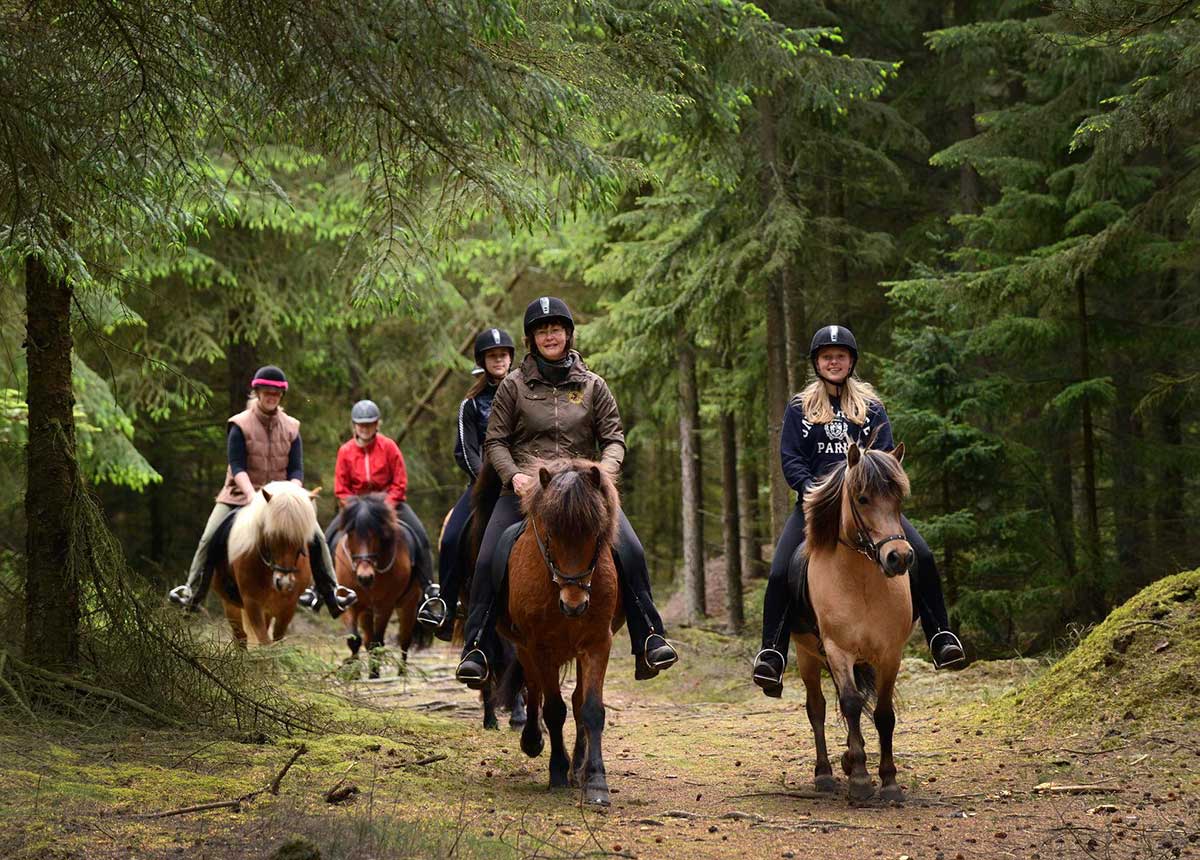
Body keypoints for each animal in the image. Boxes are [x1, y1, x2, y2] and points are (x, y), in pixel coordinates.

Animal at [210, 482, 319, 642]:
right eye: (271, 535)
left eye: (302, 538)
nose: (284, 583)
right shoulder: (252, 603)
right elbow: (264, 641)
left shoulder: (288, 606)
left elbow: (276, 639)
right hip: (230, 604)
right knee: (240, 637)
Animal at [333, 494, 417, 676]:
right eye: (350, 532)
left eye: (377, 533)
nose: (365, 577)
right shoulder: (349, 603)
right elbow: (354, 639)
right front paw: (354, 673)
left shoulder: (385, 606)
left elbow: (377, 642)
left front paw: (374, 674)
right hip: (366, 611)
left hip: (409, 604)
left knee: (405, 638)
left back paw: (401, 672)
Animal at [496, 455, 628, 806]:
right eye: (551, 534)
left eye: (596, 534)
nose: (574, 605)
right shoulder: (540, 646)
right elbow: (554, 709)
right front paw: (557, 770)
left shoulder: (597, 643)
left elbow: (591, 709)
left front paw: (595, 781)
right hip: (525, 647)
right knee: (534, 689)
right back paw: (532, 740)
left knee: (578, 700)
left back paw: (578, 766)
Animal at [792, 438, 912, 801]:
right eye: (862, 498)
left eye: (899, 498)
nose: (899, 557)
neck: (861, 583)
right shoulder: (837, 650)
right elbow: (850, 702)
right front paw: (859, 778)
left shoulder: (890, 653)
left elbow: (883, 714)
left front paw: (888, 781)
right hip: (806, 655)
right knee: (817, 708)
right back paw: (825, 774)